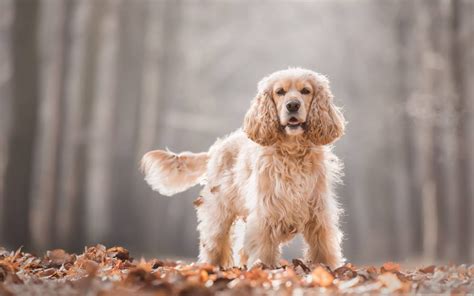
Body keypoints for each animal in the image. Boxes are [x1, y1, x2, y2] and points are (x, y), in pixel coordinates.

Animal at [140, 68, 344, 270]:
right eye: (280, 92)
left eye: (305, 91)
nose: (292, 105)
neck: (292, 152)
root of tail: (216, 148)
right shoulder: (265, 213)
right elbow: (263, 249)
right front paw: (264, 269)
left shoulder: (318, 213)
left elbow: (323, 249)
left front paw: (326, 269)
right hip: (218, 213)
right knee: (213, 244)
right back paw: (211, 267)